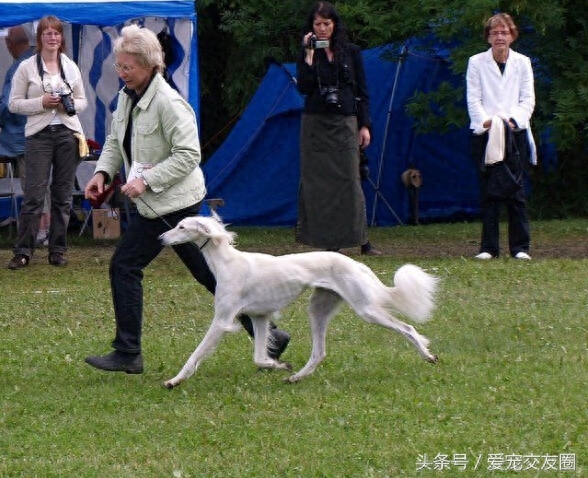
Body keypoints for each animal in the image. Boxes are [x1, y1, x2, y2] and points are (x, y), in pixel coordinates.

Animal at [158, 215, 438, 386]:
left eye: (182, 227)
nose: (160, 238)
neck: (228, 262)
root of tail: (355, 263)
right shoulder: (260, 317)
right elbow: (259, 357)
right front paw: (279, 365)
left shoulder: (222, 320)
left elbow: (195, 354)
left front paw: (174, 380)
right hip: (318, 309)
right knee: (320, 352)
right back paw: (296, 377)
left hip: (365, 309)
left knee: (407, 327)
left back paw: (428, 355)